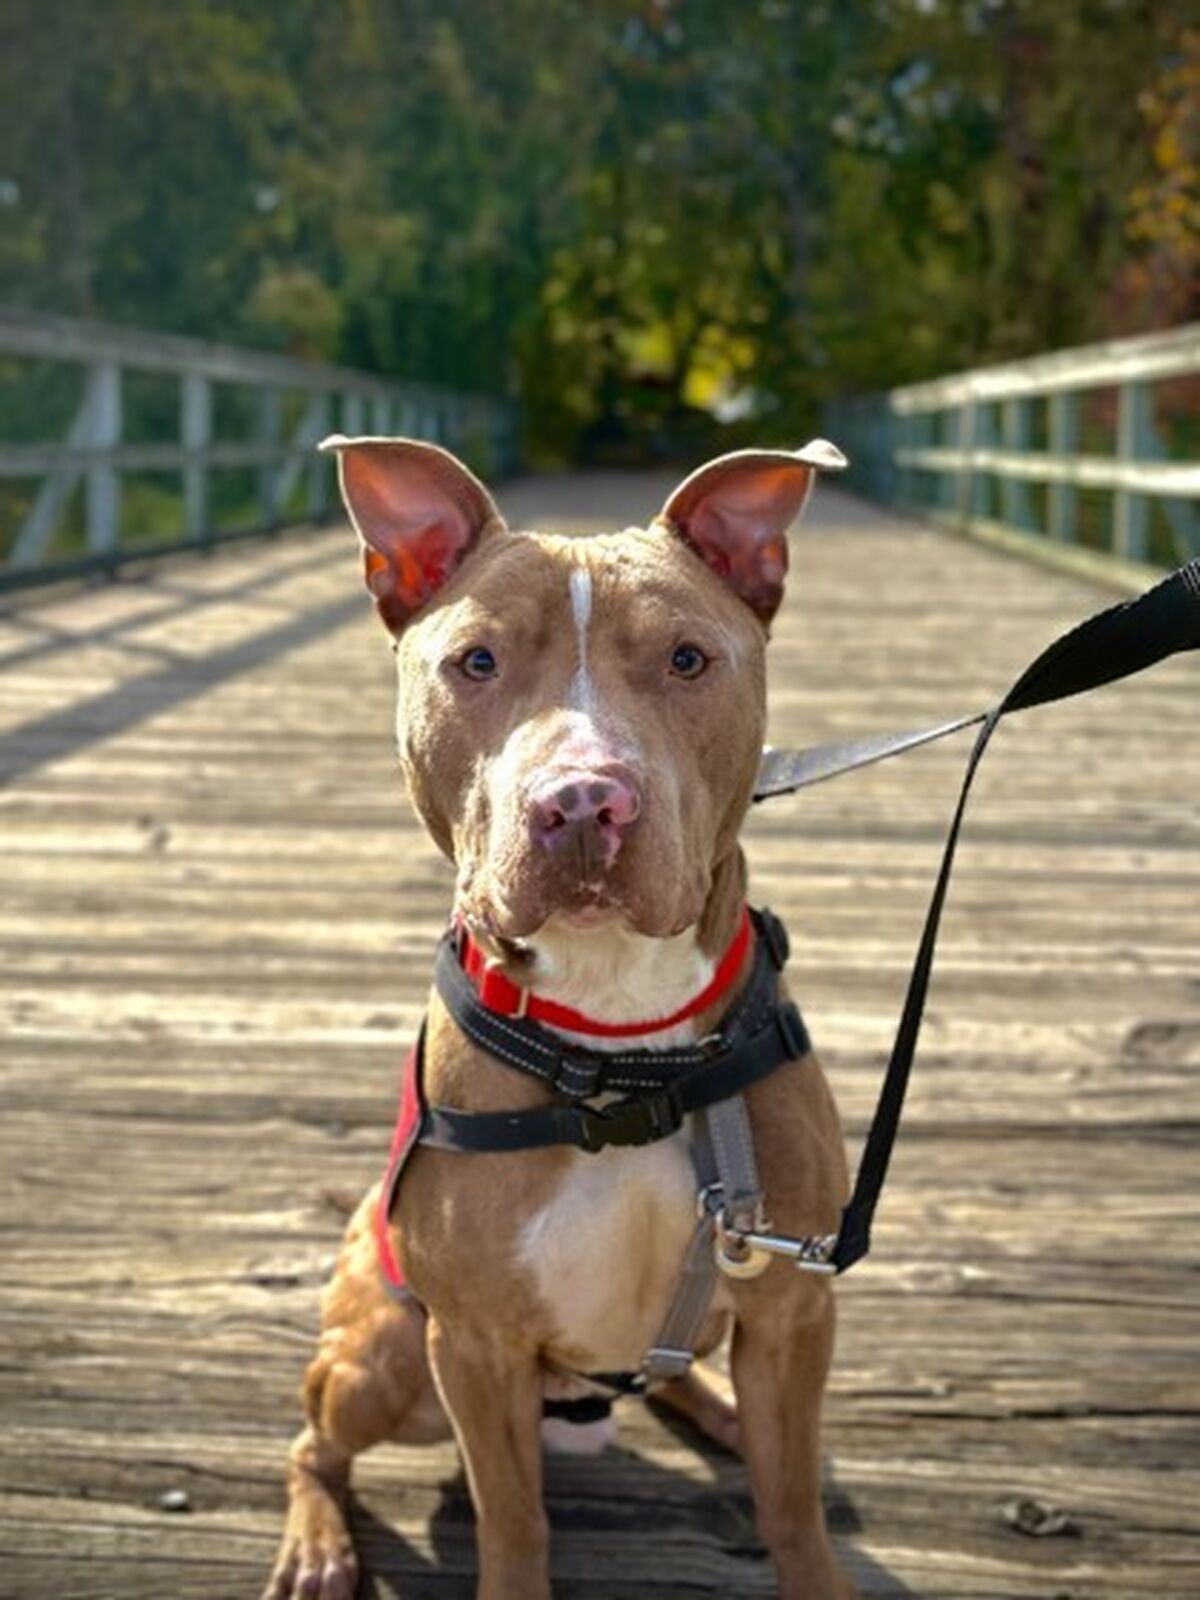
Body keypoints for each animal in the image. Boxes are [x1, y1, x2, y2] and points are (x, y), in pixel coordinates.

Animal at [263, 436, 856, 1600]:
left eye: (688, 659)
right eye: (476, 662)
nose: (583, 801)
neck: (622, 1049)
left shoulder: (793, 1309)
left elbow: (793, 1511)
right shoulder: (475, 1344)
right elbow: (514, 1519)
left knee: (692, 1388)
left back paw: (724, 1416)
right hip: (385, 1359)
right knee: (312, 1440)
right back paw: (317, 1545)